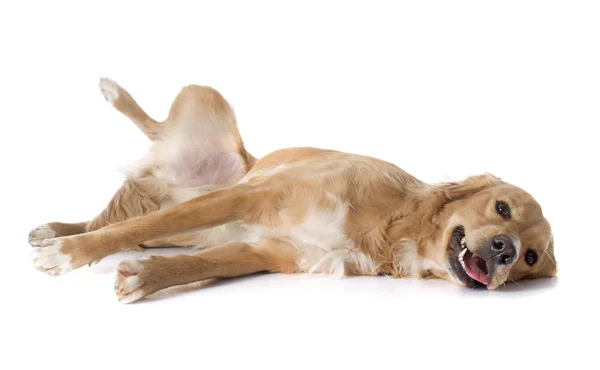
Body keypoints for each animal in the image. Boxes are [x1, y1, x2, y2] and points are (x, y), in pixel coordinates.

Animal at [27, 78, 552, 304]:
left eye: (530, 259)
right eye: (502, 208)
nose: (505, 251)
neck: (393, 225)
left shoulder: (271, 251)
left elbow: (201, 265)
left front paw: (145, 278)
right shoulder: (248, 196)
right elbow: (123, 231)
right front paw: (68, 256)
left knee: (131, 223)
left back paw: (54, 229)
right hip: (210, 105)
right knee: (151, 140)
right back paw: (111, 93)